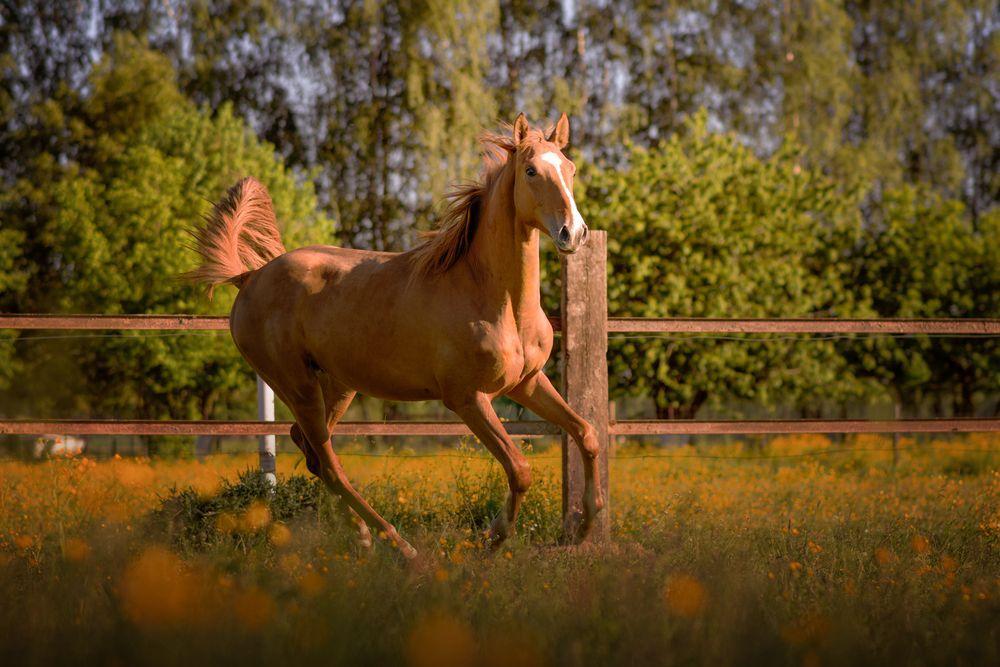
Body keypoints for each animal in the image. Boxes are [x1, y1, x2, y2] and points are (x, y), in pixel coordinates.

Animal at [191, 113, 604, 560]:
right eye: (530, 171)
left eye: (570, 169)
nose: (574, 233)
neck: (494, 299)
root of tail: (250, 277)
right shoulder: (467, 399)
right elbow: (520, 468)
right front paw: (491, 539)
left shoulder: (526, 383)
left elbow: (587, 434)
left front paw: (584, 528)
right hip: (296, 385)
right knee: (328, 459)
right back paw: (401, 547)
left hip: (337, 385)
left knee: (311, 452)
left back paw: (363, 536)